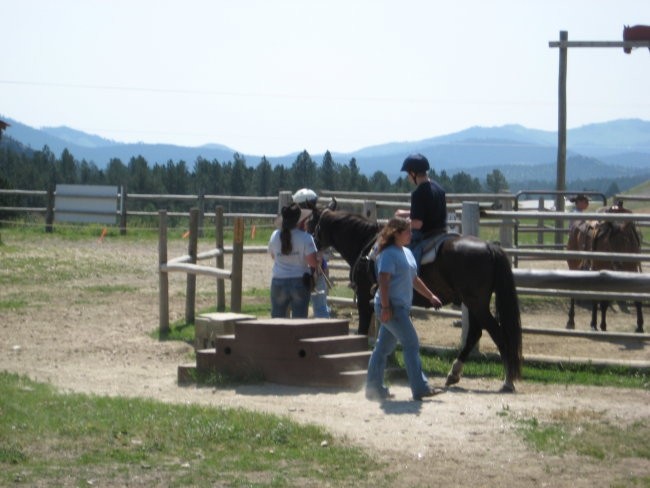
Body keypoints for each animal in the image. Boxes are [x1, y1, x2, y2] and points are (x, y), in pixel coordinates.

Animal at [306, 206, 524, 392]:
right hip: (474, 303)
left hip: (476, 303)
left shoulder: (363, 297)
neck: (366, 245)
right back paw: (454, 374)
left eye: (310, 224)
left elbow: (362, 331)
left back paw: (507, 381)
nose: (312, 257)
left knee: (496, 334)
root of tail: (489, 247)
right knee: (475, 333)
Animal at [564, 200, 640, 334]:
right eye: (610, 242)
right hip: (574, 266)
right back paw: (572, 321)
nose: (618, 264)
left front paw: (639, 326)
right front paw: (600, 325)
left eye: (626, 241)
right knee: (575, 293)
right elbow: (602, 301)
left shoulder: (632, 269)